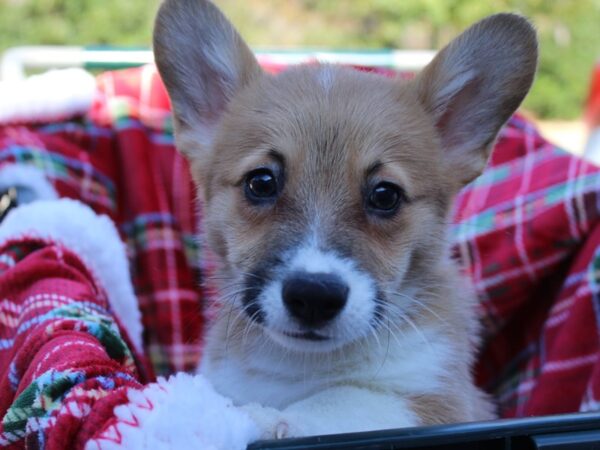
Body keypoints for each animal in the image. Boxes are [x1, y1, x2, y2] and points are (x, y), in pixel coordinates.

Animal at [155, 0, 540, 442]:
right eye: (261, 182)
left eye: (386, 195)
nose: (314, 296)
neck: (300, 366)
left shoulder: (437, 402)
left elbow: (343, 399)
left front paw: (253, 417)